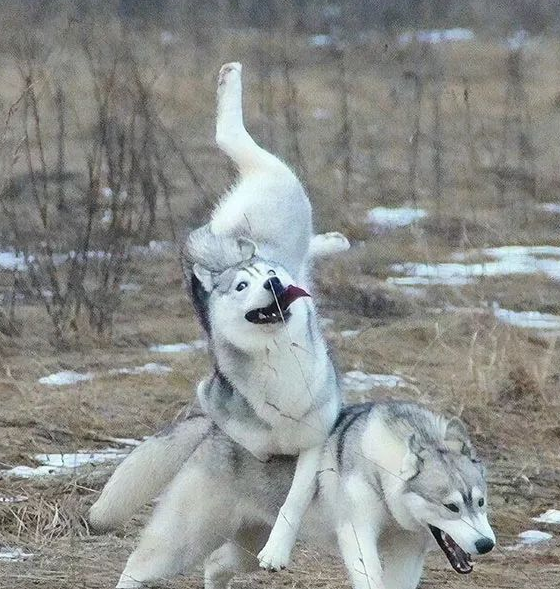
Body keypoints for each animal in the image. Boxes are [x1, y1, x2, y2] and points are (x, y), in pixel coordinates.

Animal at [88, 400, 494, 588]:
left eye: (480, 502)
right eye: (451, 506)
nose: (487, 544)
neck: (381, 467)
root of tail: (214, 426)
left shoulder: (408, 553)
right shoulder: (358, 535)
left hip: (249, 551)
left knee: (215, 564)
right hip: (184, 540)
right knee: (136, 567)